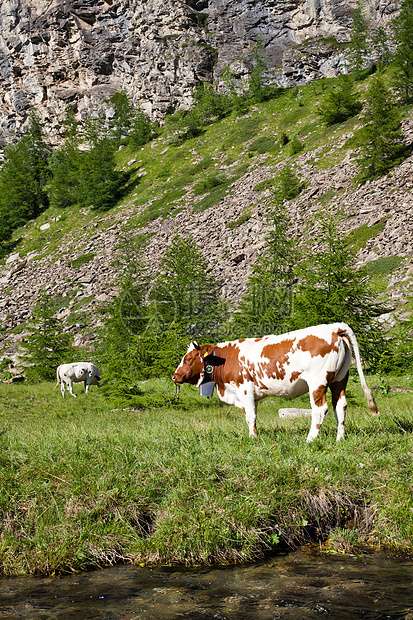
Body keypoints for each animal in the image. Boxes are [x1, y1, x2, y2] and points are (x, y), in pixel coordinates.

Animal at [171, 324, 376, 440]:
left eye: (188, 359)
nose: (174, 376)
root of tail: (334, 328)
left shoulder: (244, 389)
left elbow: (250, 416)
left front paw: (252, 438)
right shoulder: (253, 395)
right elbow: (253, 416)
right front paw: (254, 435)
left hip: (317, 382)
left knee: (320, 409)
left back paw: (311, 439)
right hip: (340, 379)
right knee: (340, 406)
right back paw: (339, 439)